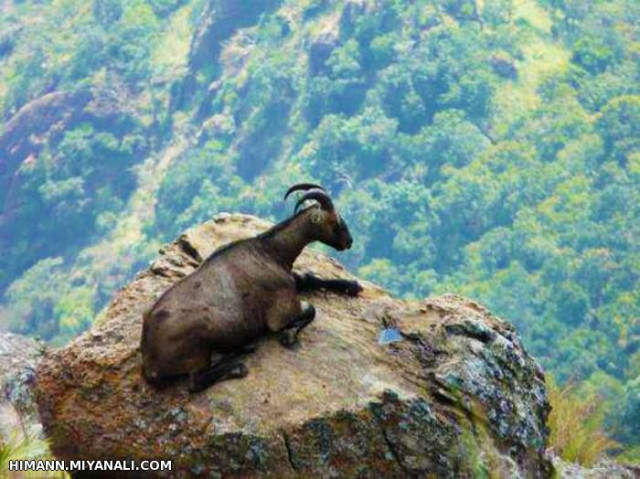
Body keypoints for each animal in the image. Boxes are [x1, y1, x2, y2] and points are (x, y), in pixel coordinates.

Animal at [140, 184, 360, 394]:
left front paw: (352, 286)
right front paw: (289, 336)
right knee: (195, 381)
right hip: (199, 344)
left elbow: (311, 278)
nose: (349, 241)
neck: (270, 252)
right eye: (335, 221)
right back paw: (237, 366)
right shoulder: (281, 312)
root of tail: (149, 361)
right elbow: (310, 310)